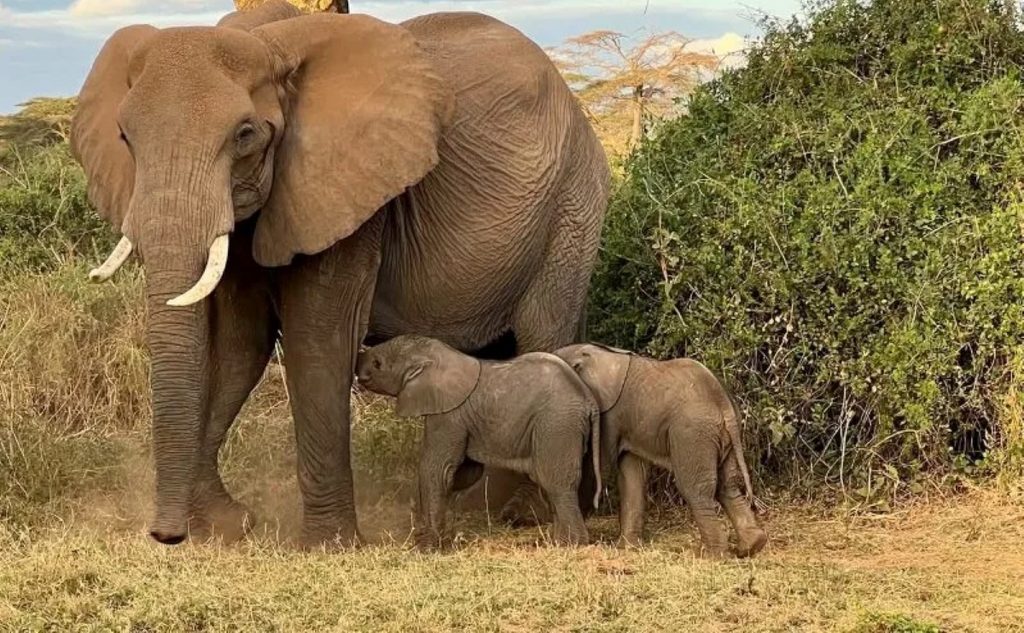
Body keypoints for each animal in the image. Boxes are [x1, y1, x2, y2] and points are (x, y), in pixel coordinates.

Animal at [355, 335, 602, 548]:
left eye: (378, 364)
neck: (443, 355)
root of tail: (588, 400)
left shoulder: (448, 415)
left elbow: (438, 468)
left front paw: (427, 546)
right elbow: (465, 473)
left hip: (557, 424)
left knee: (554, 480)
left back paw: (570, 544)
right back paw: (557, 541)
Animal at [555, 344, 767, 558]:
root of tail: (723, 403)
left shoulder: (609, 414)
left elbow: (598, 465)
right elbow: (633, 476)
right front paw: (627, 548)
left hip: (692, 435)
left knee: (695, 489)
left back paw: (713, 555)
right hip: (723, 436)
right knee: (727, 484)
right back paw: (752, 546)